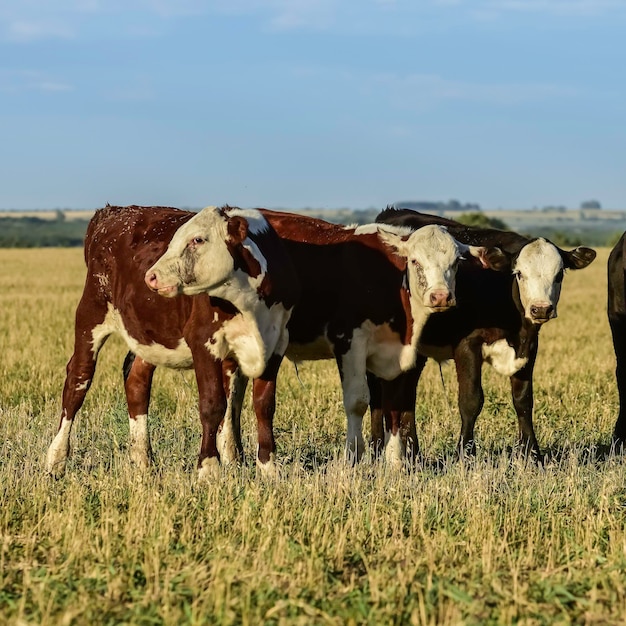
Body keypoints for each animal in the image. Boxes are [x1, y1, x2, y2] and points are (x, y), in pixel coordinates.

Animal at [45, 202, 298, 476]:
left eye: (198, 239)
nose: (151, 276)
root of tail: (112, 211)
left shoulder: (275, 344)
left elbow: (264, 405)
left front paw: (268, 468)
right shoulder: (203, 341)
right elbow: (212, 405)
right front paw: (208, 468)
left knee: (137, 381)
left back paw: (143, 459)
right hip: (91, 312)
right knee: (78, 379)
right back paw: (56, 459)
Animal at [151, 205, 508, 464]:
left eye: (456, 262)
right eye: (416, 261)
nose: (440, 296)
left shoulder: (398, 354)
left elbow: (396, 404)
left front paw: (395, 462)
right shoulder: (349, 341)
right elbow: (358, 401)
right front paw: (355, 459)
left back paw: (234, 455)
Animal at [370, 207, 596, 460]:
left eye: (559, 275)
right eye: (519, 273)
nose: (540, 309)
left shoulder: (529, 347)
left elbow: (523, 400)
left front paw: (532, 453)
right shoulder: (468, 346)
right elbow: (471, 400)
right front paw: (464, 454)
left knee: (407, 394)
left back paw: (412, 454)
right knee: (376, 392)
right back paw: (376, 448)